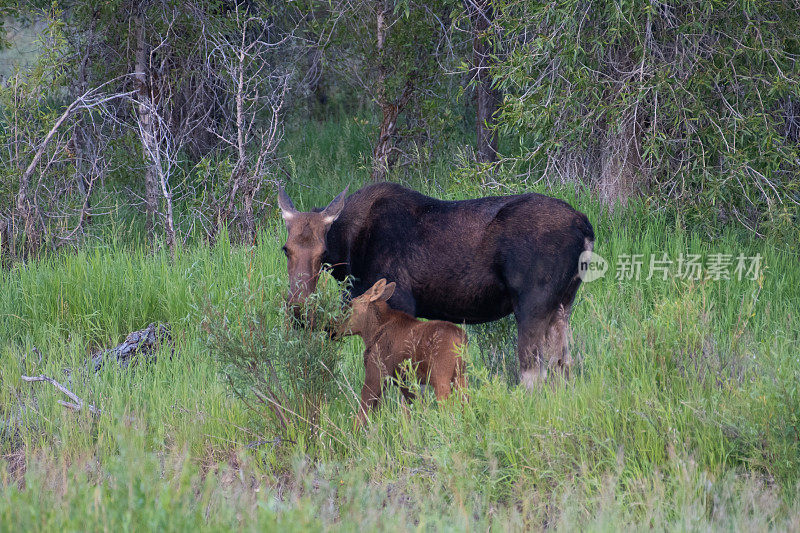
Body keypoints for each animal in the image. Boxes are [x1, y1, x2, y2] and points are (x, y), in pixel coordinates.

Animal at [276, 182, 592, 386]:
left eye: (322, 253)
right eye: (285, 249)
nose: (298, 306)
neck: (350, 251)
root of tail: (585, 227)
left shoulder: (400, 301)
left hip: (532, 304)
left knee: (533, 373)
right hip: (563, 305)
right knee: (564, 367)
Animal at [342, 278, 468, 424]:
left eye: (350, 305)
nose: (330, 327)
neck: (371, 333)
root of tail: (461, 339)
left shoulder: (376, 372)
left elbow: (361, 414)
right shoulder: (404, 382)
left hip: (441, 377)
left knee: (448, 410)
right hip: (461, 376)